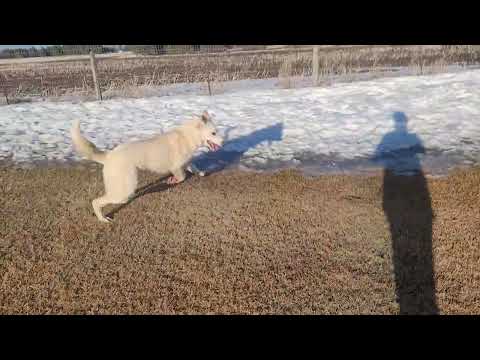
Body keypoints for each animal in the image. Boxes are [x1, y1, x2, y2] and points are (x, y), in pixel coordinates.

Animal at [70, 111, 224, 222]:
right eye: (213, 133)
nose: (223, 141)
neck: (187, 137)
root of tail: (109, 156)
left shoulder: (185, 162)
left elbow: (194, 166)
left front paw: (202, 172)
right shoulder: (176, 167)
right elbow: (181, 177)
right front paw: (172, 181)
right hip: (124, 191)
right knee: (96, 202)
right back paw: (102, 219)